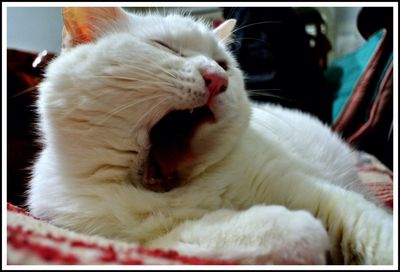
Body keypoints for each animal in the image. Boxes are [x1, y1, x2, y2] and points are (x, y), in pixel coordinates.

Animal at [28, 7, 394, 264]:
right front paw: (300, 232)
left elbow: (372, 230)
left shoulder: (316, 192)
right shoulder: (143, 240)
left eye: (224, 64)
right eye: (166, 48)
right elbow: (265, 233)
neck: (176, 191)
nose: (218, 78)